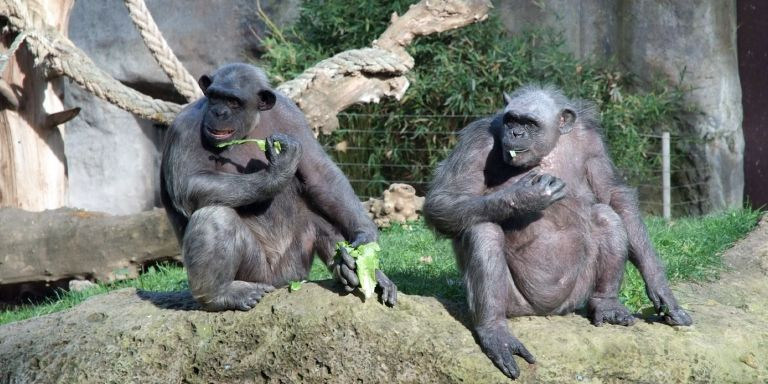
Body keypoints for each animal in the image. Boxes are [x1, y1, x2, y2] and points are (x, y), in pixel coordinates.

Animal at [160, 62, 400, 308]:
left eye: (233, 101)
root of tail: (282, 284)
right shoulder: (184, 127)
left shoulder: (291, 114)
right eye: (214, 97)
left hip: (295, 267)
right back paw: (221, 294)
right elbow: (189, 183)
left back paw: (350, 269)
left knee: (319, 214)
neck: (250, 126)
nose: (218, 112)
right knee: (216, 216)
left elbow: (319, 173)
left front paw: (364, 239)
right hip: (259, 274)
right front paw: (279, 171)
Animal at [424, 86, 692, 378]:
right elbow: (444, 199)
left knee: (606, 216)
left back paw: (607, 305)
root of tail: (544, 312)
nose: (515, 134)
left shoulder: (592, 143)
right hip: (515, 303)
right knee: (482, 229)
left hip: (574, 295)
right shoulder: (476, 141)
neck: (550, 147)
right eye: (511, 120)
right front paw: (526, 196)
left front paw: (660, 287)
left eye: (530, 123)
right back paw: (495, 332)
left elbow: (613, 195)